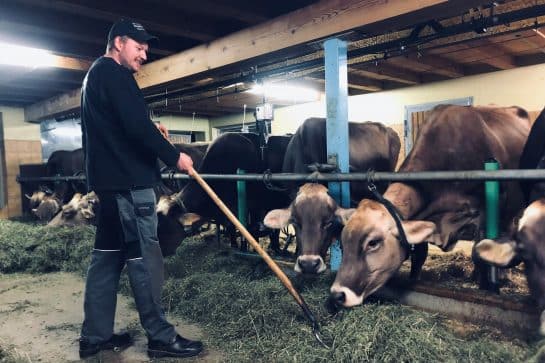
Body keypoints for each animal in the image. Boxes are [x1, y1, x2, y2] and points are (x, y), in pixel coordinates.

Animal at [328, 104, 532, 310]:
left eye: (373, 243)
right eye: (343, 243)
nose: (338, 294)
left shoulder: (487, 211)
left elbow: (481, 253)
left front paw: (486, 290)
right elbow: (419, 255)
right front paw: (414, 280)